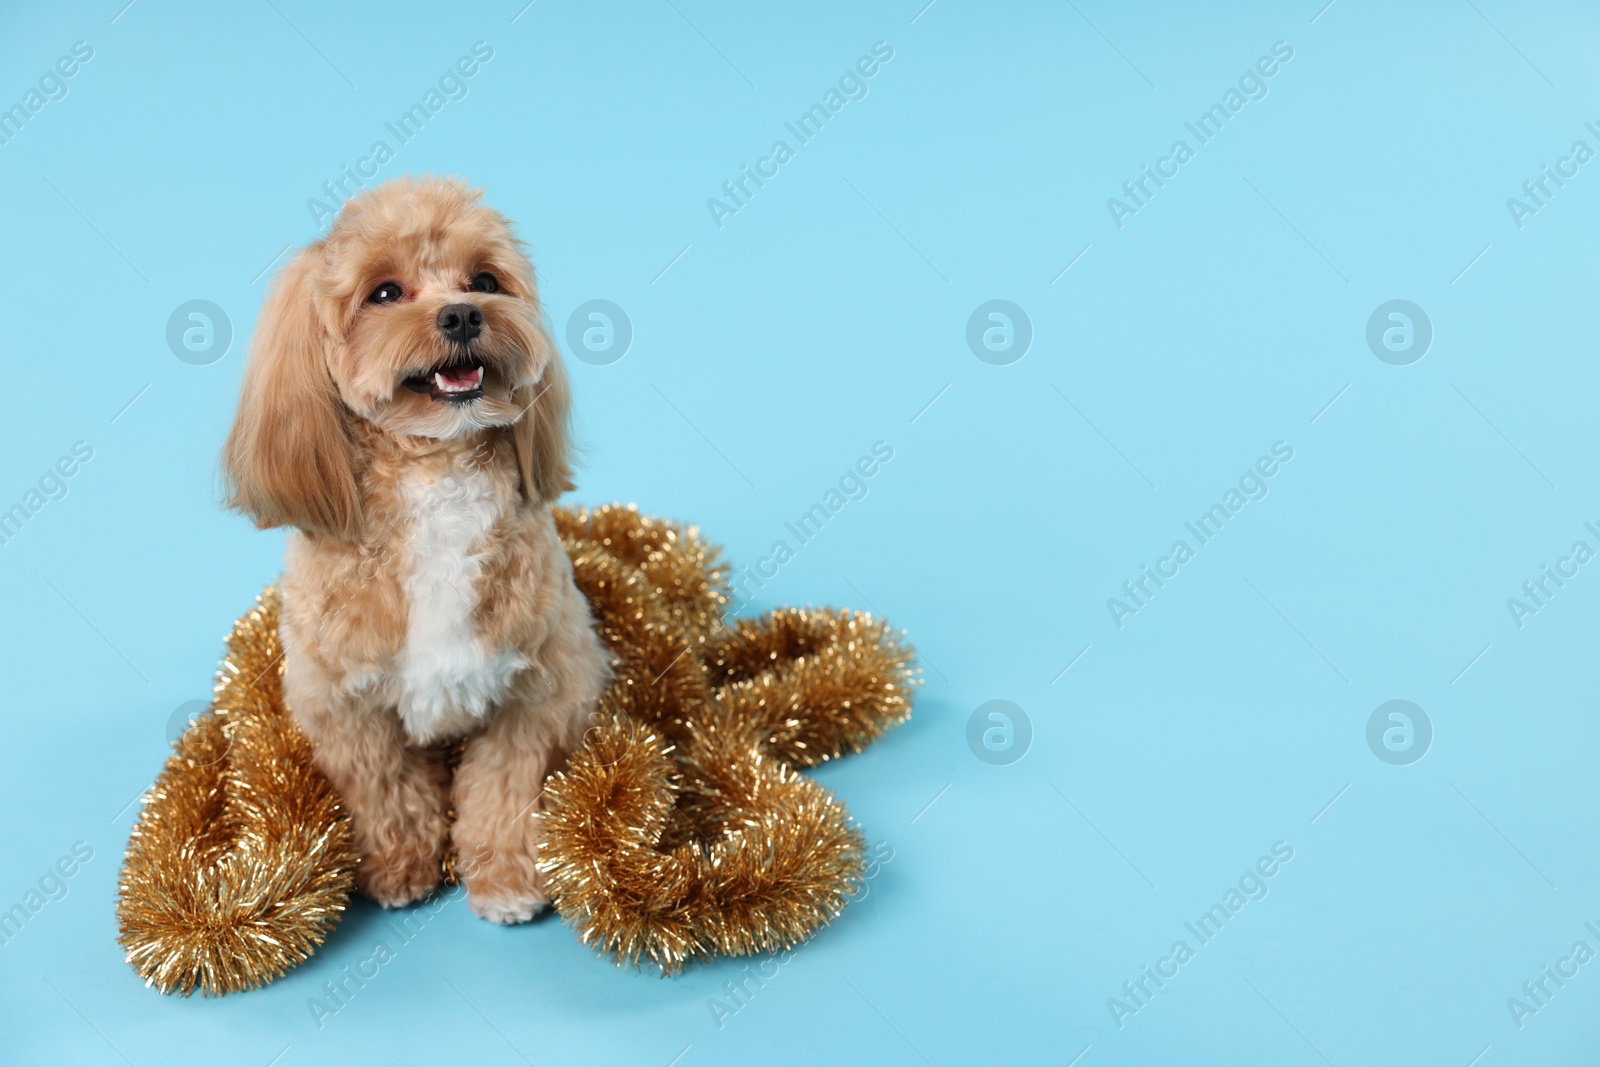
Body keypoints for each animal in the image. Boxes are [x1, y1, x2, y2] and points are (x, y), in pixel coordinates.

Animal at [219, 177, 604, 927]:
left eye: (484, 281)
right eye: (386, 293)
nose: (461, 314)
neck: (438, 478)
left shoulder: (542, 687)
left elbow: (502, 787)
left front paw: (505, 876)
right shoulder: (343, 703)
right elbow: (385, 786)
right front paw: (399, 867)